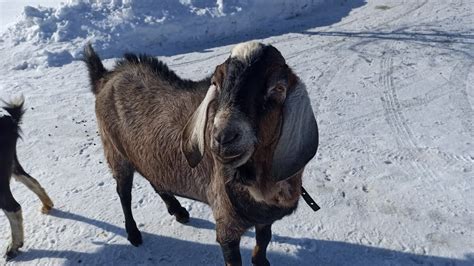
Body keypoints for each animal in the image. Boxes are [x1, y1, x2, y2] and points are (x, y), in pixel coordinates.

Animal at [83, 40, 318, 264]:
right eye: (217, 83)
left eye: (278, 89)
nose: (223, 137)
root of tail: (107, 76)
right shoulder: (226, 223)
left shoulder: (264, 218)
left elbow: (264, 241)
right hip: (114, 150)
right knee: (124, 192)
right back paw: (133, 234)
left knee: (154, 178)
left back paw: (177, 210)